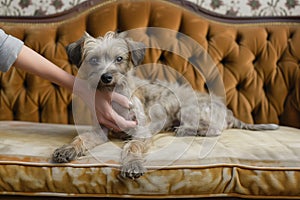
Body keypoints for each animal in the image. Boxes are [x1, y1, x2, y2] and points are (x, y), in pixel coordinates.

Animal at [52, 31, 278, 180]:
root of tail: (229, 113)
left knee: (213, 129)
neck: (112, 97)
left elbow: (132, 146)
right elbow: (81, 139)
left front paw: (132, 164)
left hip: (189, 108)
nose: (106, 77)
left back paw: (186, 130)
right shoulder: (100, 130)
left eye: (119, 59)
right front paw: (67, 149)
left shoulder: (141, 131)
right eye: (93, 60)